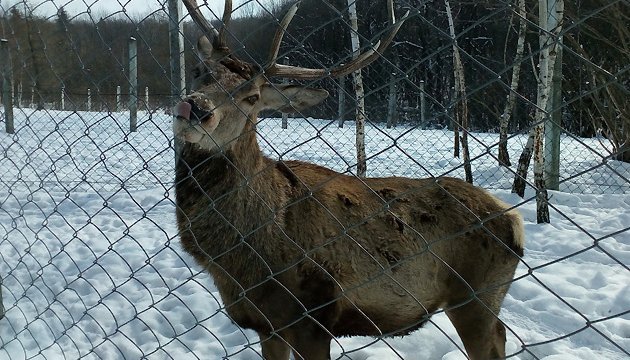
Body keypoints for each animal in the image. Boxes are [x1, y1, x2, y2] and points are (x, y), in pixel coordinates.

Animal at [175, 1, 524, 358]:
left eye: (253, 97)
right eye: (199, 71)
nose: (196, 108)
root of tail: (513, 218)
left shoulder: (313, 317)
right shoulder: (265, 325)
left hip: (476, 294)